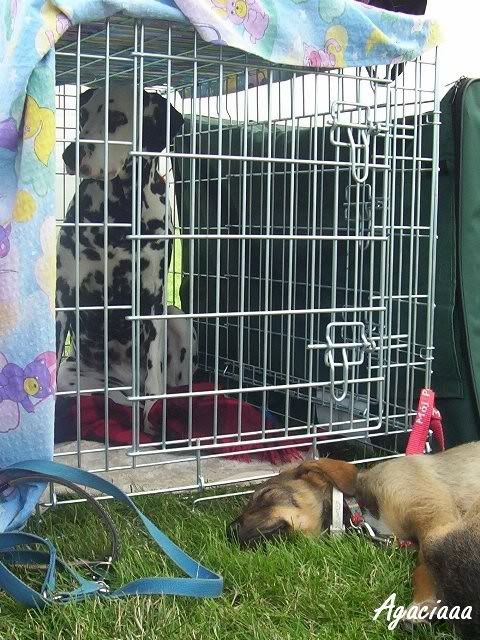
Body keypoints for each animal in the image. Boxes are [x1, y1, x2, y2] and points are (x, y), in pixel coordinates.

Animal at [56, 83, 197, 431]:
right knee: (108, 398)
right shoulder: (64, 297)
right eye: (82, 116)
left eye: (118, 118)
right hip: (77, 375)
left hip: (177, 317)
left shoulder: (153, 302)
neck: (118, 210)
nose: (70, 154)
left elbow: (155, 384)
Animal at [228, 442, 480, 637]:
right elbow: (424, 565)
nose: (229, 530)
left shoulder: (434, 517)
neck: (359, 509)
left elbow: (428, 559)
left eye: (266, 495)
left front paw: (424, 605)